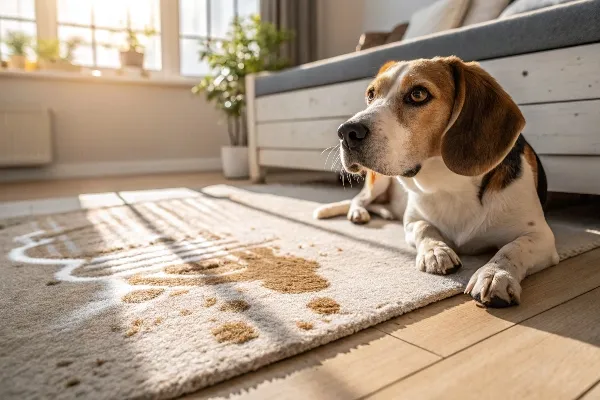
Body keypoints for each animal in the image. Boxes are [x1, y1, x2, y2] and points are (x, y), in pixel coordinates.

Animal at [314, 55, 556, 306]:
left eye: (418, 94)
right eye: (371, 95)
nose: (346, 132)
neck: (449, 185)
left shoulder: (541, 235)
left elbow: (513, 248)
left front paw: (495, 274)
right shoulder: (412, 221)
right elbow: (424, 227)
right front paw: (436, 251)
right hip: (377, 181)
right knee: (359, 200)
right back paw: (359, 213)